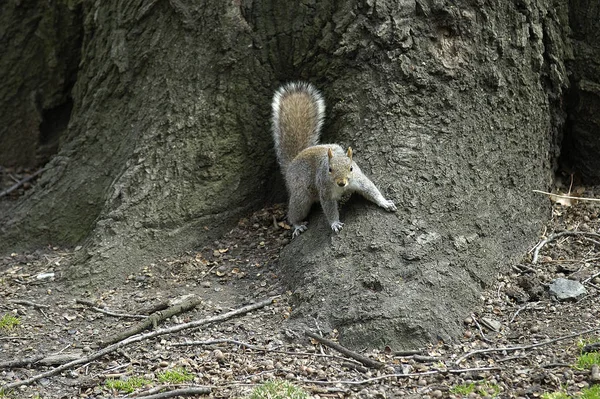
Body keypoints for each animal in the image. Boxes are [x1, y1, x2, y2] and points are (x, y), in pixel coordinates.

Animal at [270, 81, 396, 238]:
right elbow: (329, 209)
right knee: (295, 212)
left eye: (351, 168)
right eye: (329, 169)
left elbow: (371, 190)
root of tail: (292, 163)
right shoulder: (325, 190)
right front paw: (335, 223)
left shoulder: (359, 179)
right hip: (301, 193)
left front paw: (384, 202)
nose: (341, 183)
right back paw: (297, 225)